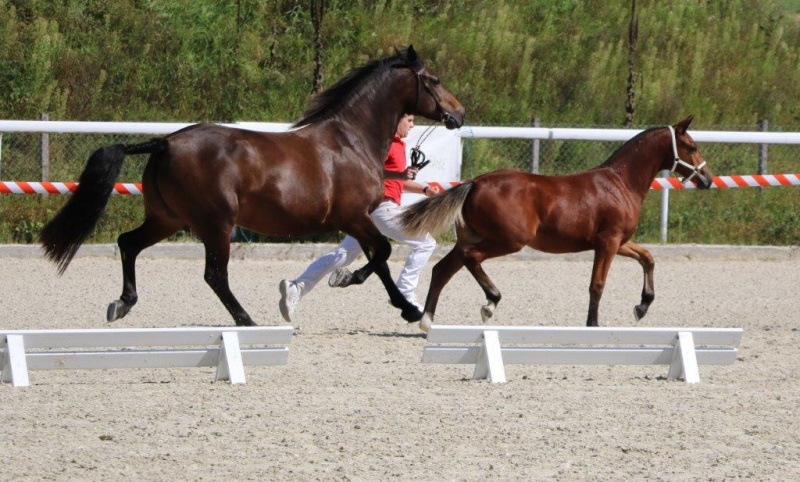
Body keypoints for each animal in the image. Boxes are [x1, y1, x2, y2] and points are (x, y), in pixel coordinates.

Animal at [39, 45, 462, 326]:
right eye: (434, 80)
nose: (459, 113)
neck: (350, 140)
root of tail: (165, 142)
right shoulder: (354, 217)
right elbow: (382, 256)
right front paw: (379, 295)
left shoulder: (356, 221)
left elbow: (380, 258)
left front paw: (400, 304)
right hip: (216, 224)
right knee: (214, 275)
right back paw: (246, 321)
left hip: (168, 219)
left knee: (128, 243)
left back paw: (123, 304)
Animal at [404, 118, 708, 334]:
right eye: (692, 147)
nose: (706, 178)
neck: (620, 183)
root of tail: (476, 182)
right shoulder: (608, 242)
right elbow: (597, 284)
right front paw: (593, 326)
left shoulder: (618, 241)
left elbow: (648, 258)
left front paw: (642, 307)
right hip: (507, 241)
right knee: (471, 259)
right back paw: (490, 302)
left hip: (471, 238)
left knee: (442, 270)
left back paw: (427, 322)